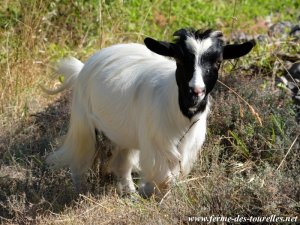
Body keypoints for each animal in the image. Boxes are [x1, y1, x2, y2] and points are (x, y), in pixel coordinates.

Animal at [45, 28, 255, 197]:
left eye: (218, 62)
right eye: (179, 59)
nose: (196, 91)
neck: (180, 112)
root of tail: (83, 67)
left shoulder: (187, 145)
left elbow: (175, 175)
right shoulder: (156, 144)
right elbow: (164, 176)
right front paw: (152, 193)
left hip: (124, 134)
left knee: (122, 162)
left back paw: (129, 192)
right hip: (83, 122)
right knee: (80, 157)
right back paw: (81, 191)